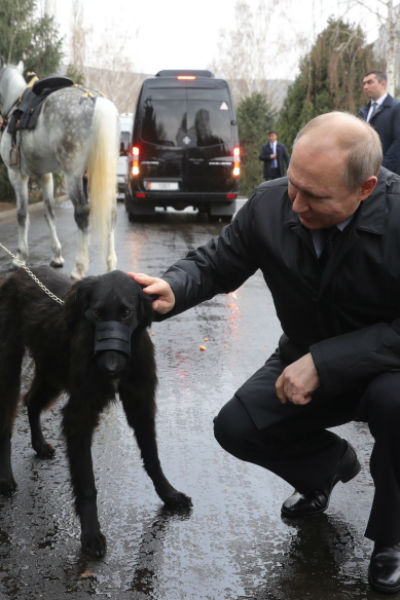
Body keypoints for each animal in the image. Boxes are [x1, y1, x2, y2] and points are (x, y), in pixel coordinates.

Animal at [0, 61, 119, 278]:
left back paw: (79, 268)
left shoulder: (17, 175)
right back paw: (111, 266)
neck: (15, 104)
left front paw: (20, 257)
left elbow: (22, 215)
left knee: (82, 212)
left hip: (73, 175)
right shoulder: (45, 175)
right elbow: (49, 213)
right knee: (111, 212)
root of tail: (95, 100)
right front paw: (56, 256)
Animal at [0, 268, 192, 556]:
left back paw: (39, 444)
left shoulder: (140, 403)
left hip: (52, 371)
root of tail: (17, 272)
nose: (110, 368)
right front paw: (90, 534)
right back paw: (5, 477)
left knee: (32, 402)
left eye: (126, 312)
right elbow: (87, 483)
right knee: (7, 420)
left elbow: (152, 457)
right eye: (96, 313)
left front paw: (169, 494)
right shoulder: (80, 413)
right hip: (10, 365)